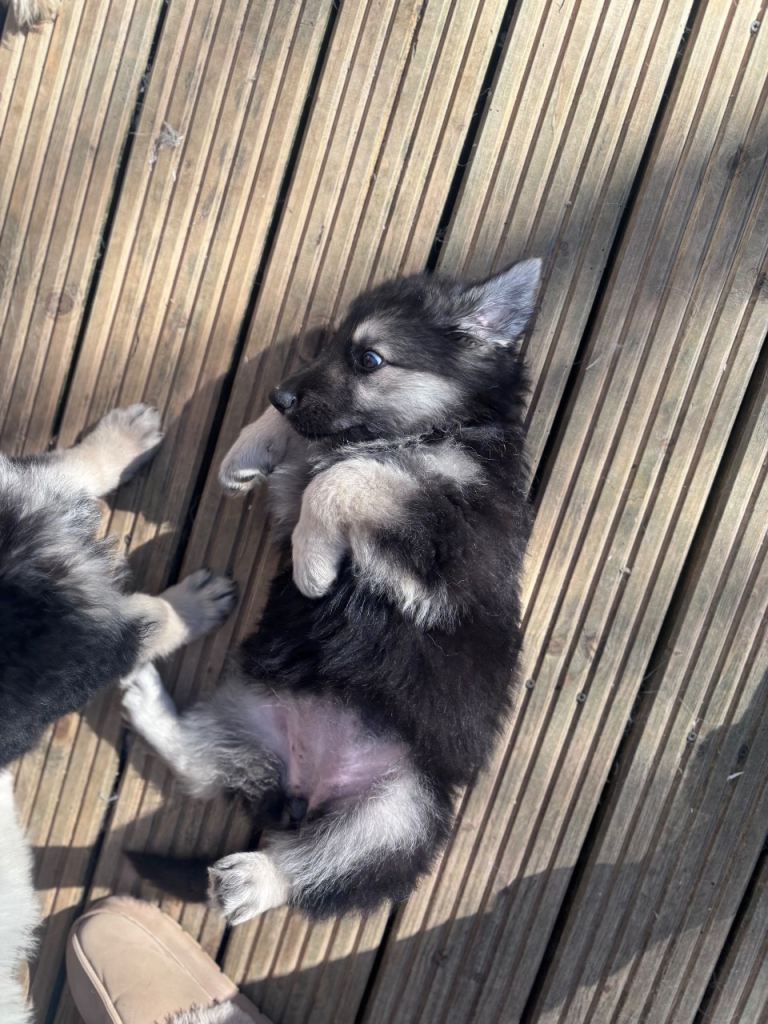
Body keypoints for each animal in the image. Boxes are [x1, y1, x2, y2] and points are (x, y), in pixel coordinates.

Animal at [122, 258, 542, 922]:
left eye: (369, 358)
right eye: (329, 344)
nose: (279, 392)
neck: (442, 429)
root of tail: (306, 779)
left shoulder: (439, 549)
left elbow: (348, 477)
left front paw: (313, 566)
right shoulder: (305, 481)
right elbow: (321, 455)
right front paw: (249, 448)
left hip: (401, 813)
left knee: (317, 868)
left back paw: (250, 881)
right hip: (252, 708)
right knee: (201, 767)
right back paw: (148, 703)